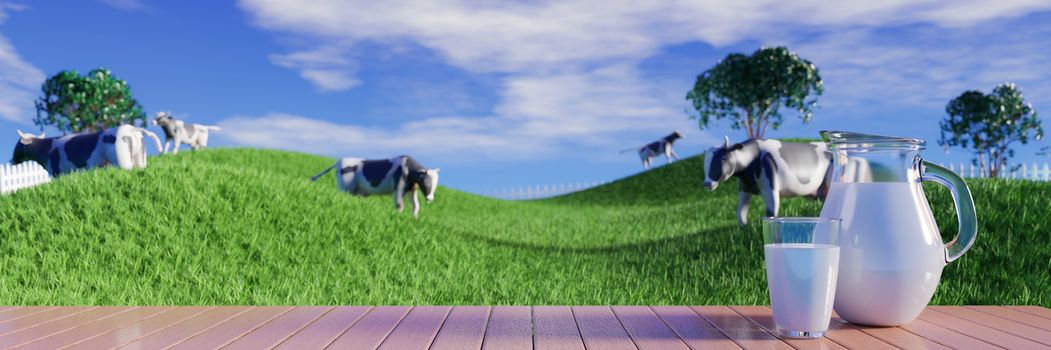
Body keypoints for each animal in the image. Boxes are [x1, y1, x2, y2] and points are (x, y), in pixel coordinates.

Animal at [12, 124, 163, 175]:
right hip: (140, 158)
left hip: (123, 159)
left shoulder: (56, 172)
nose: (12, 160)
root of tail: (133, 129)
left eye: (18, 144)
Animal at [311, 154, 443, 216]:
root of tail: (339, 161)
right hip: (346, 187)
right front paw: (398, 217)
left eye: (436, 183)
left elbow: (416, 206)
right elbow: (399, 204)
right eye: (426, 181)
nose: (430, 198)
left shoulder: (411, 188)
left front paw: (414, 219)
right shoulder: (399, 186)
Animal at [702, 134, 832, 224]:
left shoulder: (770, 186)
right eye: (705, 162)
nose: (707, 183)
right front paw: (743, 229)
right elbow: (741, 212)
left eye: (723, 159)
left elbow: (771, 210)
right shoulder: (744, 187)